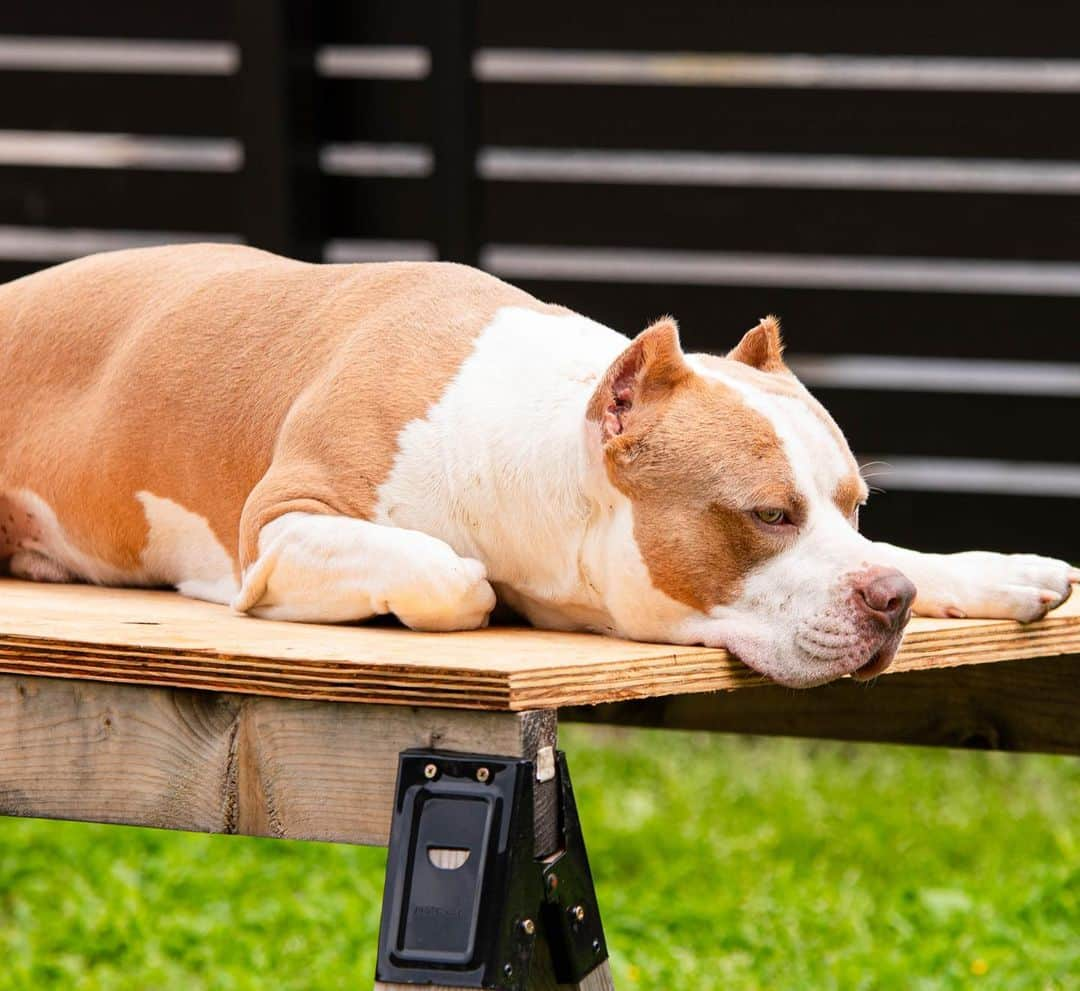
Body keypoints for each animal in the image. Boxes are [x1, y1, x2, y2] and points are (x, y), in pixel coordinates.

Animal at [0, 243, 1075, 686]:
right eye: (768, 515)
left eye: (854, 507)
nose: (889, 600)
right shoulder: (282, 522)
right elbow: (453, 576)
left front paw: (997, 570)